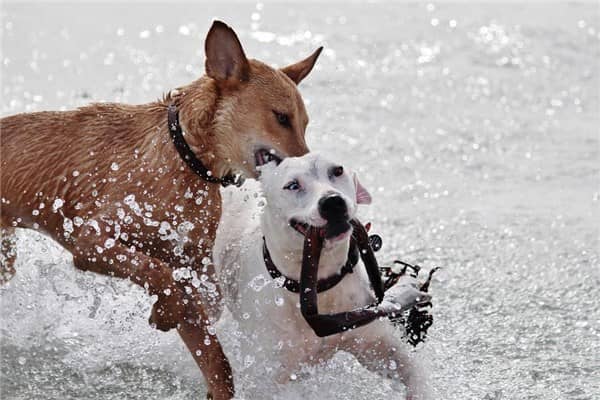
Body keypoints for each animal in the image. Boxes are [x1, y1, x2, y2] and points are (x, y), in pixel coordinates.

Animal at [0, 21, 324, 396]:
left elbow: (211, 337)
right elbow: (157, 272)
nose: (312, 168)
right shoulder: (91, 239)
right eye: (281, 117)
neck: (184, 158)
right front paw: (165, 310)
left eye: (305, 123)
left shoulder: (192, 261)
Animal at [213, 154, 434, 400]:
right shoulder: (268, 379)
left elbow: (412, 372)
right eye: (293, 185)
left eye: (337, 171)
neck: (320, 284)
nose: (332, 202)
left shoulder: (376, 343)